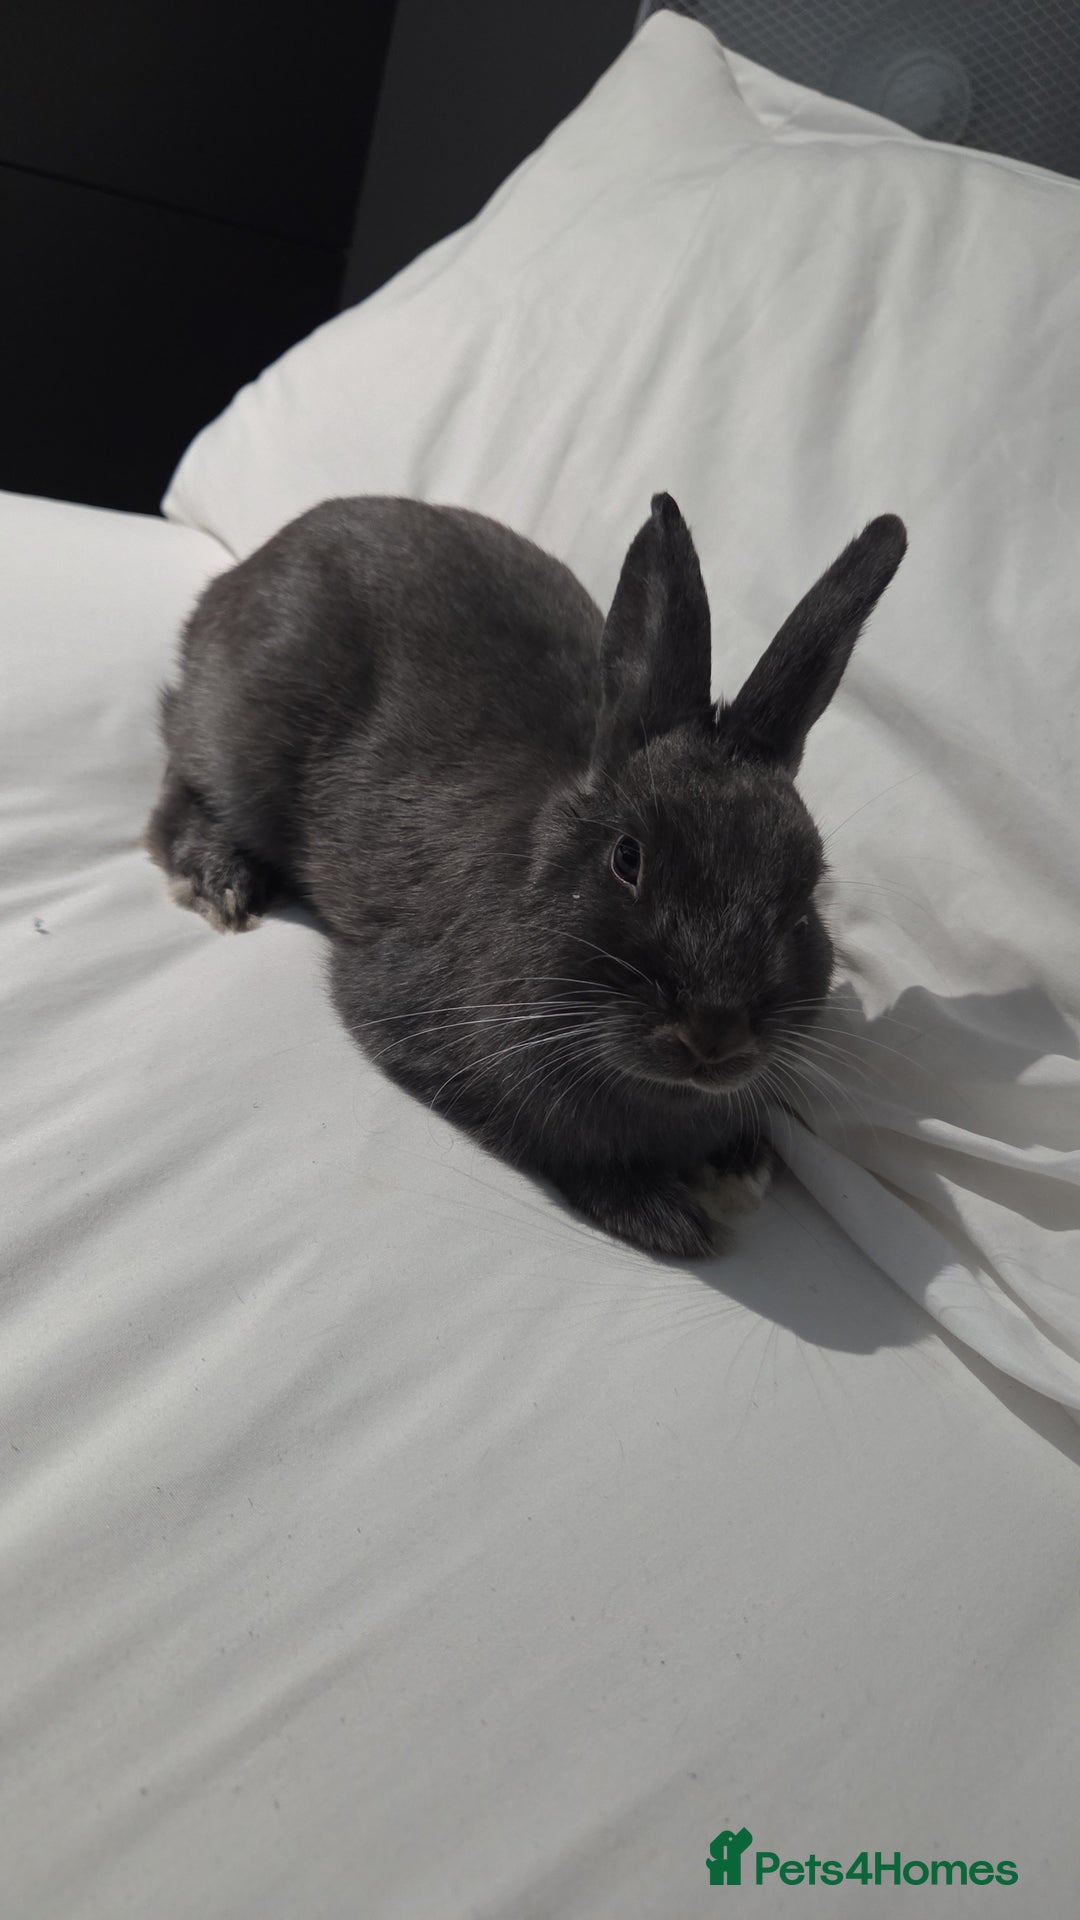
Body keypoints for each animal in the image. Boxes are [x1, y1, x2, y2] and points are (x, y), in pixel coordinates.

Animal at [146, 493, 906, 1257]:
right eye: (627, 858)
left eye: (803, 898)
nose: (714, 1034)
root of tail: (247, 567)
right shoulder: (429, 1038)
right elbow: (552, 1142)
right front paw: (663, 1217)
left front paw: (741, 1166)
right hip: (242, 747)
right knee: (180, 776)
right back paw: (219, 882)